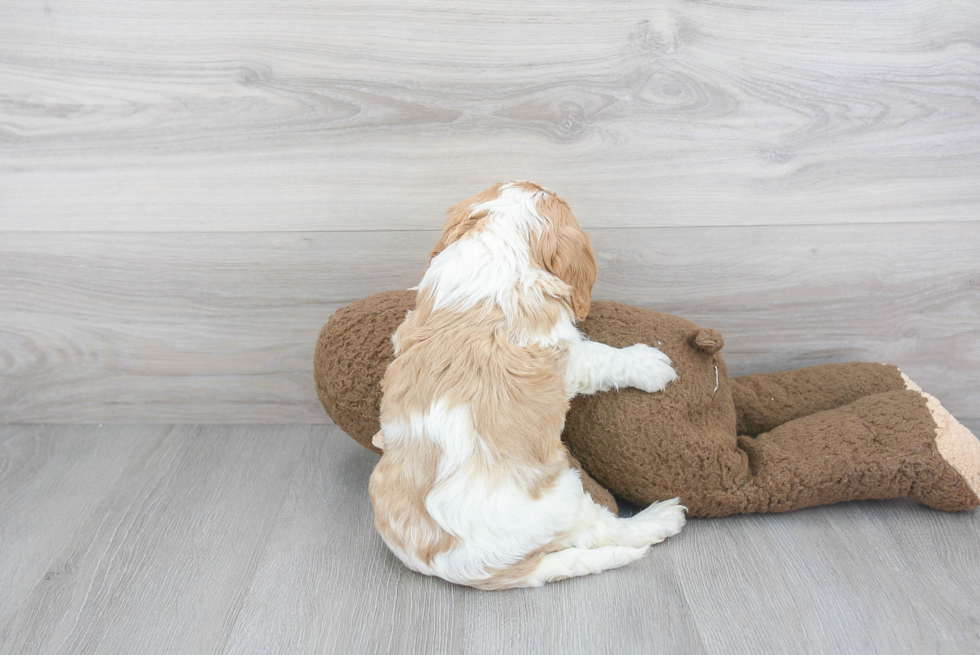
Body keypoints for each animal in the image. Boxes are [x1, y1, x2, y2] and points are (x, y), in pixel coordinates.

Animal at [368, 181, 680, 588]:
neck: (494, 247)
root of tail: (464, 571)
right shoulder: (561, 354)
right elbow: (603, 357)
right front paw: (647, 363)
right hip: (562, 499)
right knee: (601, 531)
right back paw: (660, 519)